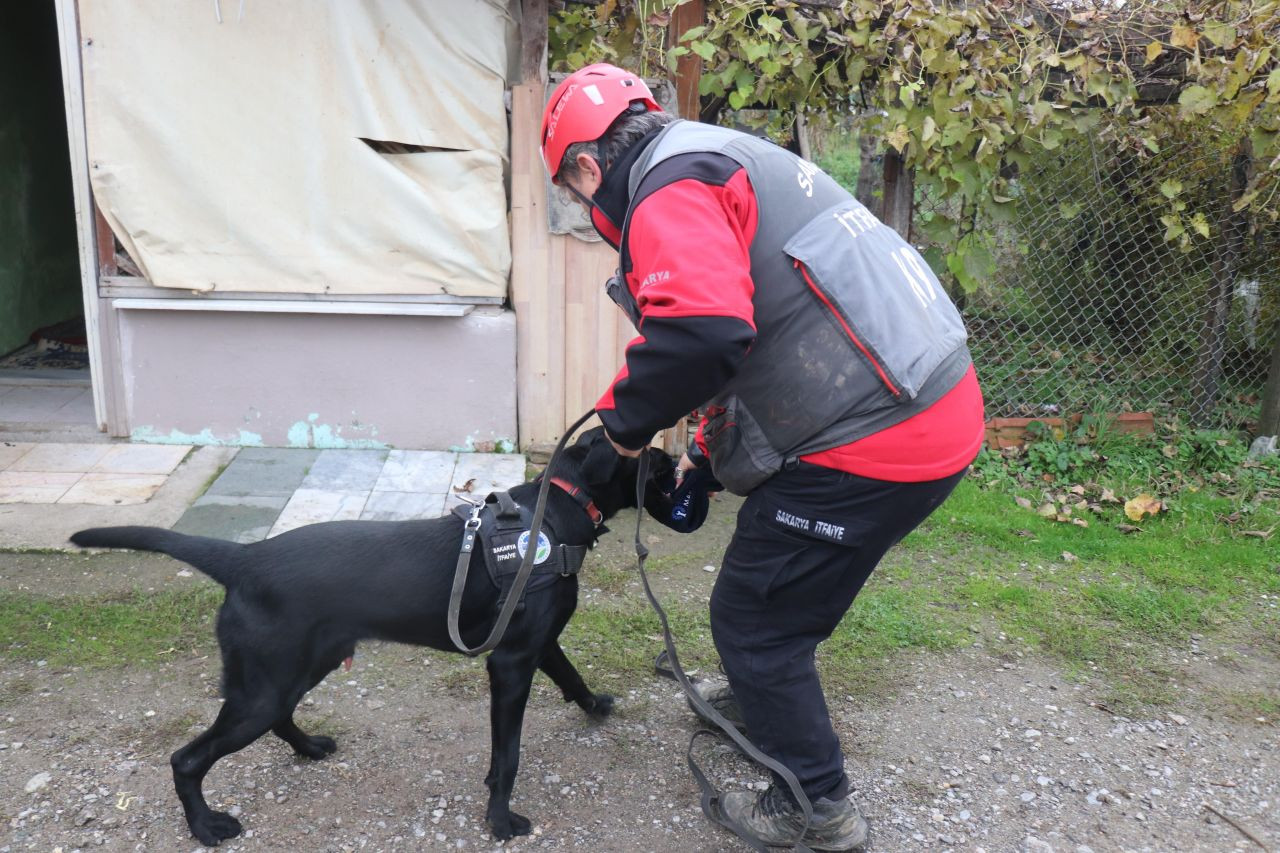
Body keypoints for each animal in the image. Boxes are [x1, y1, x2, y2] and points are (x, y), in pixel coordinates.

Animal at [72, 427, 670, 840]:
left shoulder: (537, 645)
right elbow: (508, 757)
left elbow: (572, 677)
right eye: (661, 465)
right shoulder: (511, 661)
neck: (557, 508)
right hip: (265, 686)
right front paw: (499, 820)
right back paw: (205, 827)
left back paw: (310, 748)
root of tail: (246, 559)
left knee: (279, 719)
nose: (684, 473)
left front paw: (596, 707)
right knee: (188, 759)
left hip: (295, 669)